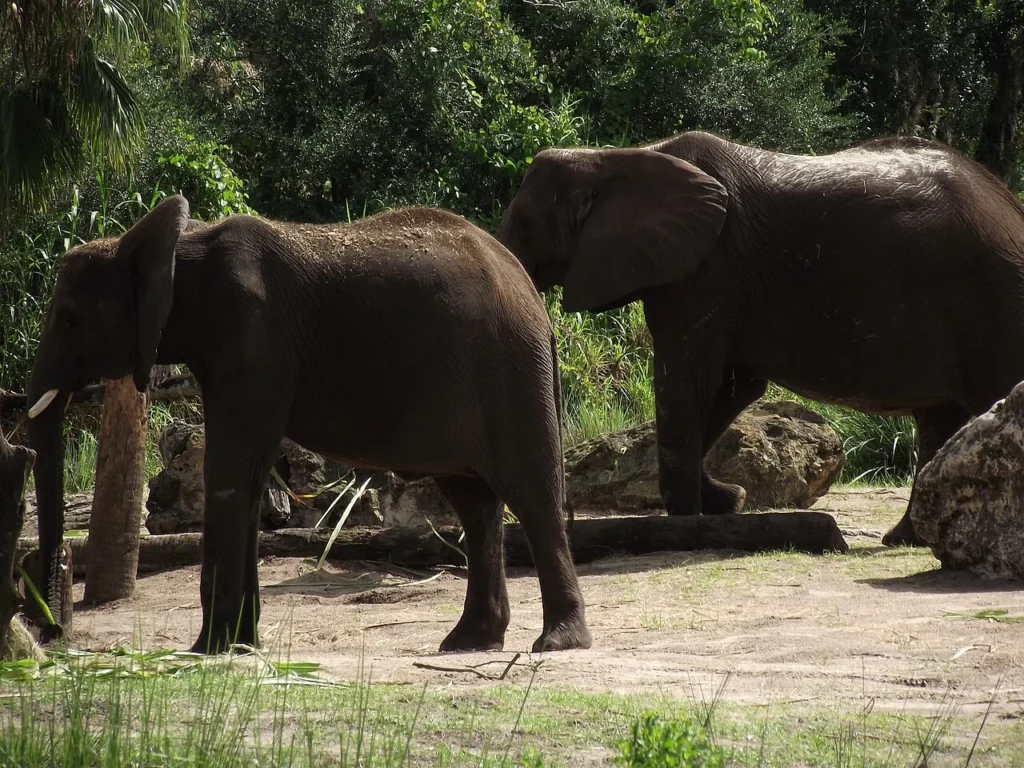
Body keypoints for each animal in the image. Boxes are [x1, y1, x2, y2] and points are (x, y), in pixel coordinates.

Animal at [26, 195, 592, 655]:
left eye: (70, 317)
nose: (50, 634)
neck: (174, 245)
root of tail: (534, 297)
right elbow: (250, 476)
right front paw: (241, 646)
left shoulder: (254, 338)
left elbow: (231, 470)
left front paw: (207, 651)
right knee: (476, 505)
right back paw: (467, 642)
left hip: (511, 368)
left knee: (530, 493)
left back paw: (556, 643)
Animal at [495, 131, 1024, 547]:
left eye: (523, 223)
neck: (618, 157)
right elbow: (733, 388)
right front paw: (726, 501)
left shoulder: (708, 270)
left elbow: (687, 383)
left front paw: (687, 521)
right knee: (939, 418)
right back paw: (906, 539)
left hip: (993, 298)